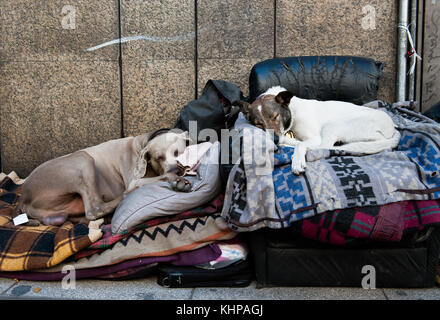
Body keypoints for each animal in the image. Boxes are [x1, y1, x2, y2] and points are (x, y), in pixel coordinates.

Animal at [15, 129, 192, 225]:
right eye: (158, 157)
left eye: (179, 152)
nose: (176, 170)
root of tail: (24, 198)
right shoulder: (135, 178)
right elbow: (151, 179)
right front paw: (178, 181)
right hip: (82, 159)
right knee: (95, 209)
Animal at [239, 85, 400, 175]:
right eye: (258, 124)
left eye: (275, 116)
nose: (275, 140)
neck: (294, 111)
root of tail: (392, 129)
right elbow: (296, 141)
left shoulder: (315, 138)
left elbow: (301, 144)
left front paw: (297, 161)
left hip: (334, 124)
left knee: (324, 146)